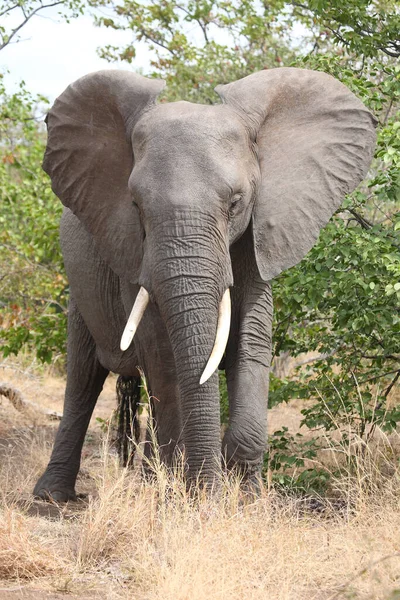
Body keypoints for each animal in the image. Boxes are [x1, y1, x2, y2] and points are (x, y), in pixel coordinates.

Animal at [32, 67, 376, 502]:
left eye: (236, 202)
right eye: (136, 206)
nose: (209, 492)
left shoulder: (258, 239)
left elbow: (252, 339)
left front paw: (243, 498)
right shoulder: (133, 253)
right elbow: (160, 352)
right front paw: (190, 496)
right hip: (81, 288)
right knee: (83, 379)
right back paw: (52, 497)